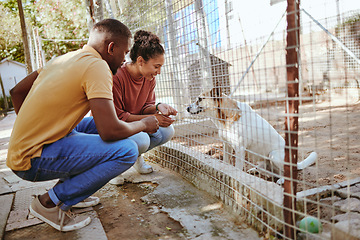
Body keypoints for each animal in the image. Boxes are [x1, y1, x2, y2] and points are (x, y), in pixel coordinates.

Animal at [187, 87, 316, 184]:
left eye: (200, 99)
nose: (187, 108)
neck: (226, 117)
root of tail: (296, 164)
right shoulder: (226, 145)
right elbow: (226, 162)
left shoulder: (239, 148)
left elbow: (237, 168)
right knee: (268, 171)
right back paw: (256, 170)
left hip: (274, 155)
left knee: (286, 174)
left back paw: (282, 180)